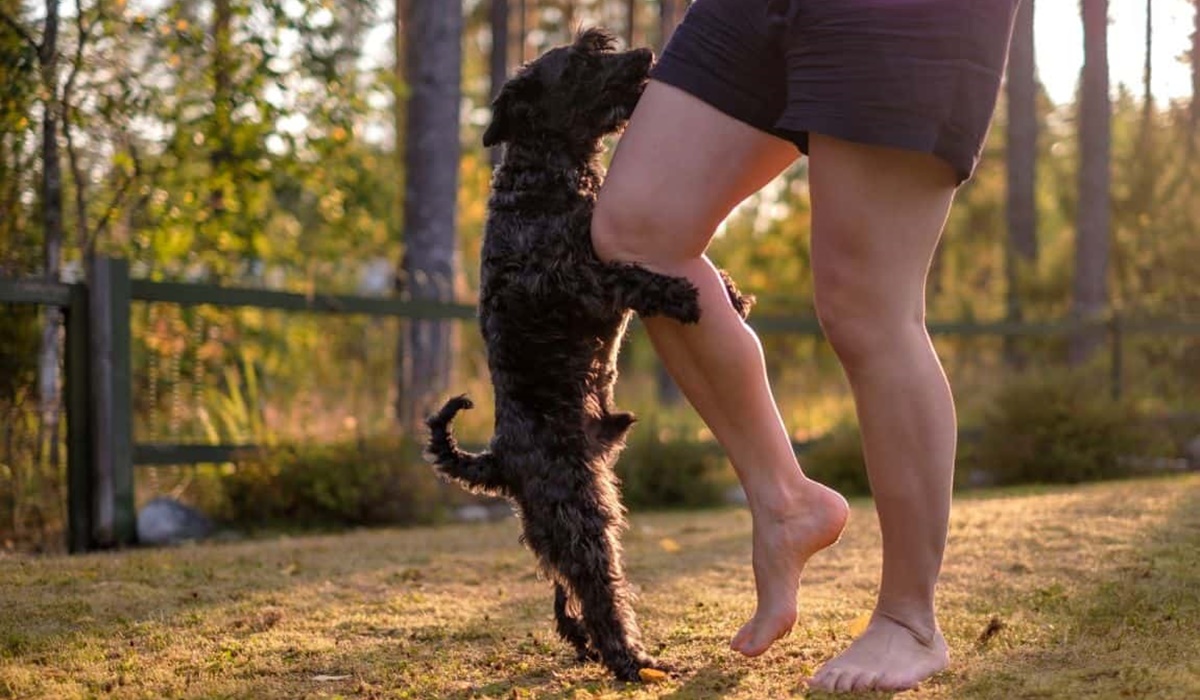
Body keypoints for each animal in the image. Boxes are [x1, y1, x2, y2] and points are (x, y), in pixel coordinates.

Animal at [422, 30, 748, 681]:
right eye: (578, 62)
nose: (645, 56)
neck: (543, 180)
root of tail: (496, 460)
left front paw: (731, 292)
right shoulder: (570, 281)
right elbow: (628, 274)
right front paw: (682, 294)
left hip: (556, 525)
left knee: (564, 595)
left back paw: (591, 648)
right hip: (580, 514)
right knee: (598, 591)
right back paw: (631, 660)